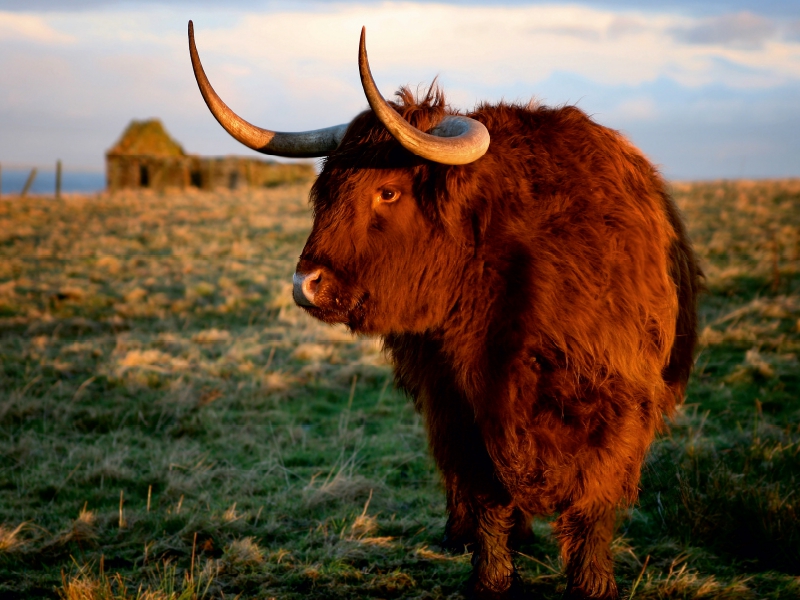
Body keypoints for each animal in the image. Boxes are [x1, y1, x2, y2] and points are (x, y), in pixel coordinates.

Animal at [189, 21, 700, 596]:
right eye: (325, 192)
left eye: (388, 192)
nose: (307, 285)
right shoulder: (456, 406)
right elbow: (485, 498)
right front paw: (490, 578)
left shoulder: (614, 404)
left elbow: (591, 506)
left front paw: (592, 585)